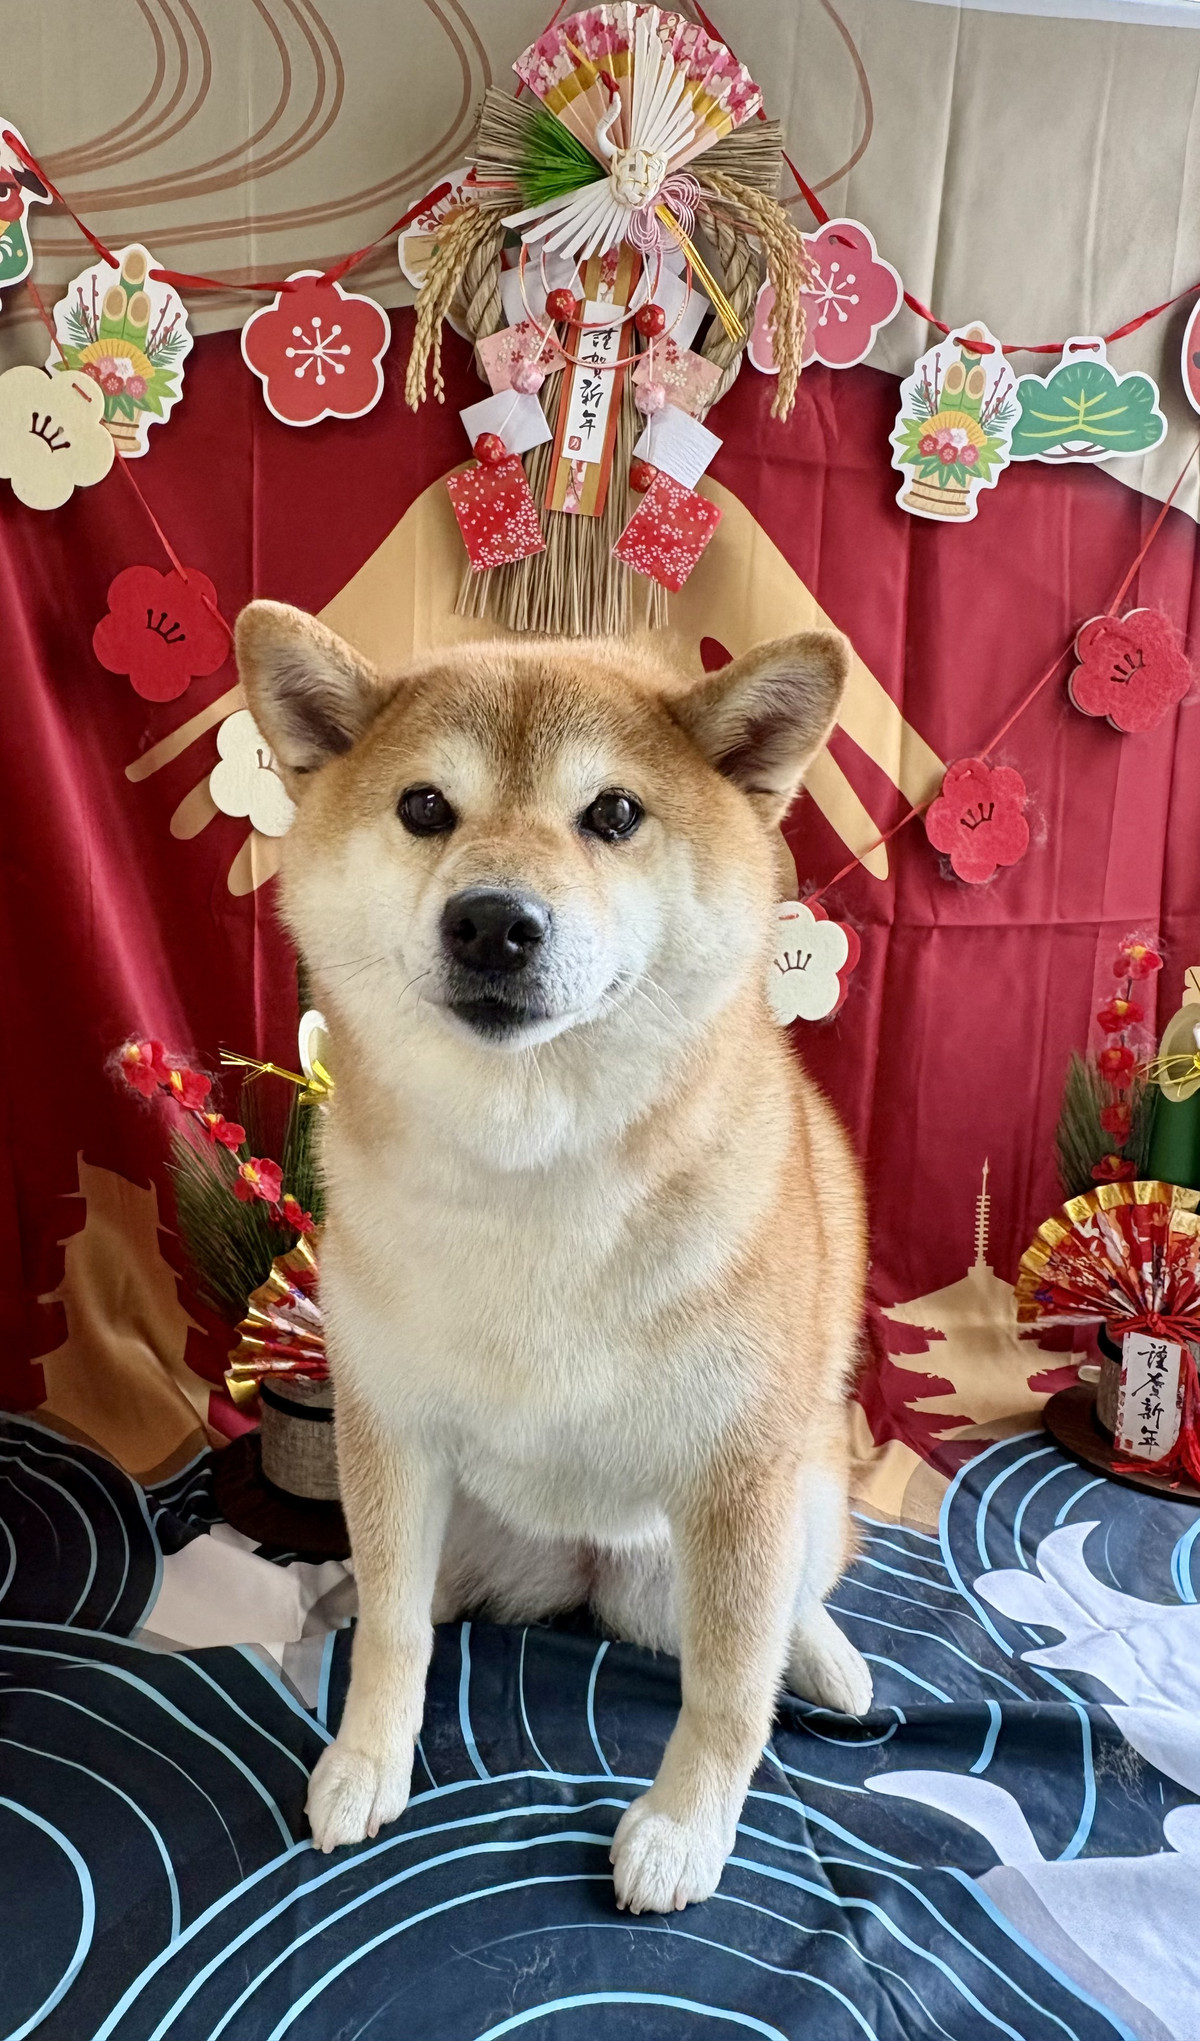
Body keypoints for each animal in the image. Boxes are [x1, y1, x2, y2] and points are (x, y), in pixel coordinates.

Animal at [236, 603, 873, 1914]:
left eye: (615, 813)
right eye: (425, 806)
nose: (493, 918)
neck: (532, 1176)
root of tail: (580, 1572)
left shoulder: (740, 1473)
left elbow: (728, 1694)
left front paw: (684, 1826)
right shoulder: (390, 1426)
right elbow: (394, 1633)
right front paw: (366, 1758)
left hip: (781, 1501)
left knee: (791, 1598)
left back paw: (826, 1656)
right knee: (407, 1597)